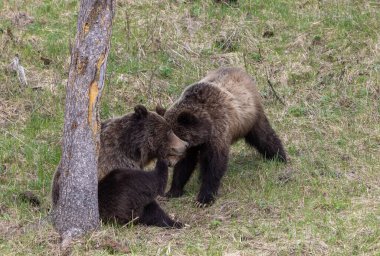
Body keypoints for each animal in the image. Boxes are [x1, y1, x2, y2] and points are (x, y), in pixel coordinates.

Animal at [159, 67, 286, 207]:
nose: (168, 163)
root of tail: (241, 71)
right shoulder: (193, 146)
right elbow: (185, 165)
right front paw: (173, 191)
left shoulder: (218, 133)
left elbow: (215, 164)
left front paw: (204, 198)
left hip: (251, 118)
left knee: (264, 137)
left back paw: (279, 156)